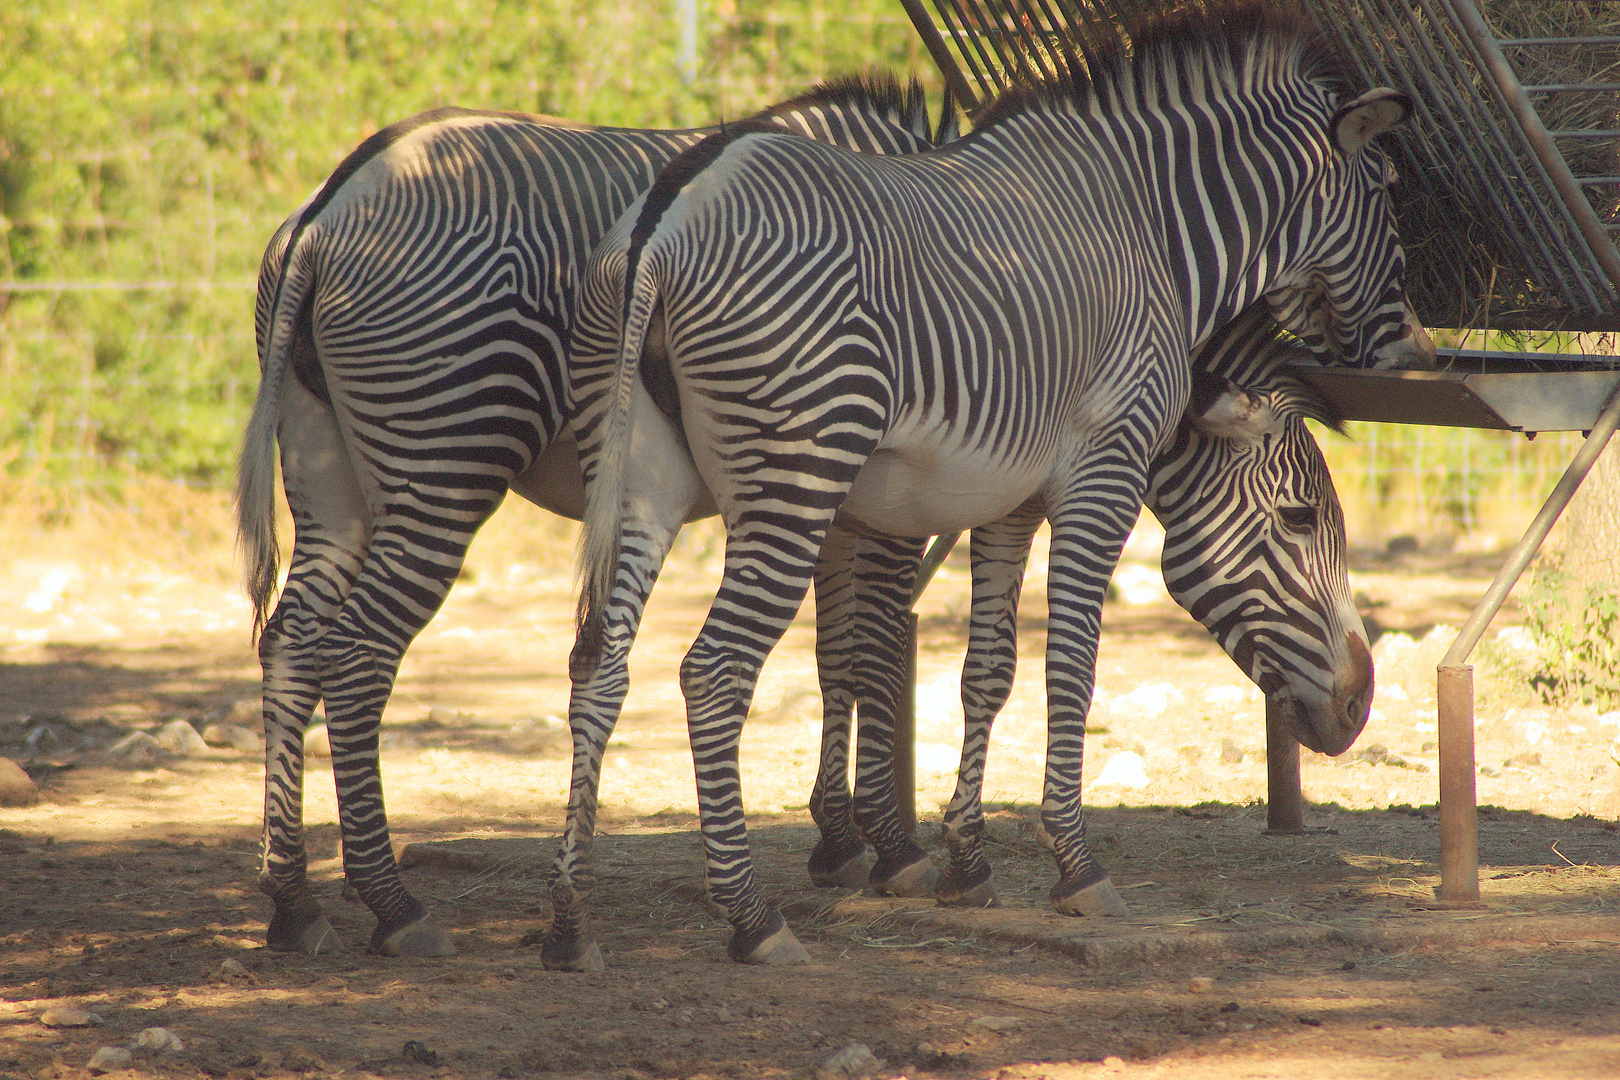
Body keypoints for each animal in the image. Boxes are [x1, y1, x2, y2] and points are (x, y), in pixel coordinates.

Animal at [803, 304, 1360, 906]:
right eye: (1299, 516)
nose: (1361, 705)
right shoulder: (897, 497)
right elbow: (879, 658)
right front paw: (891, 846)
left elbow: (845, 659)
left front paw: (842, 837)